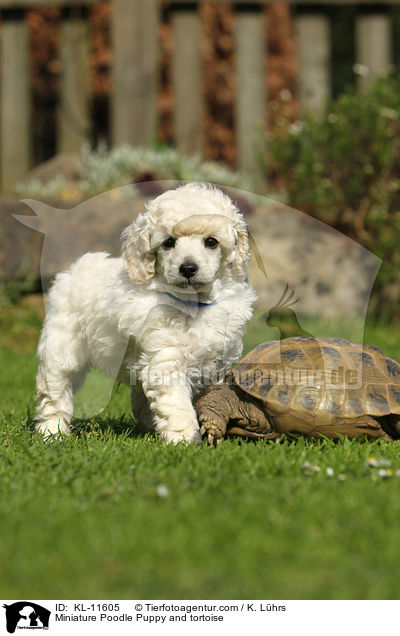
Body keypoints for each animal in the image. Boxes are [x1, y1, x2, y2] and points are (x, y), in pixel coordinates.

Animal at [36, 181, 256, 444]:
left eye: (211, 242)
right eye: (168, 242)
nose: (188, 268)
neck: (195, 304)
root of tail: (75, 268)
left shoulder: (217, 363)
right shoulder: (167, 360)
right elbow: (177, 404)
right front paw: (184, 438)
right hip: (62, 347)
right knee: (55, 390)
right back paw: (52, 432)